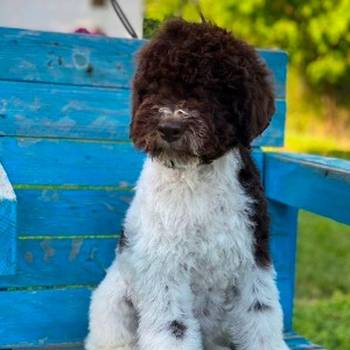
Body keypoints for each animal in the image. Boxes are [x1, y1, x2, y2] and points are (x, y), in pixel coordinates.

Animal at [86, 18, 288, 350]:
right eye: (155, 86)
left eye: (212, 91)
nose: (170, 127)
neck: (196, 176)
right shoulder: (163, 266)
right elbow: (173, 329)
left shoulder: (252, 258)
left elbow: (262, 318)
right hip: (114, 299)